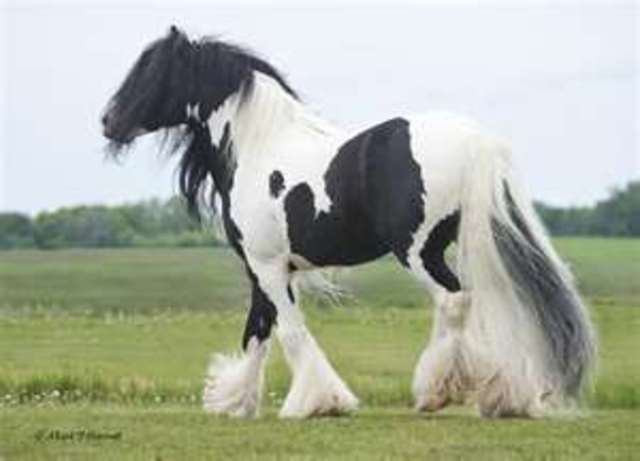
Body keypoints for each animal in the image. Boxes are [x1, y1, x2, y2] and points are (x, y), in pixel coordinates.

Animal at [102, 26, 596, 419]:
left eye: (151, 71)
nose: (108, 122)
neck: (259, 148)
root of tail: (476, 140)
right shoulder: (265, 268)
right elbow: (258, 330)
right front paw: (235, 400)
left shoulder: (267, 265)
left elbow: (290, 331)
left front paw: (317, 403)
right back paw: (492, 394)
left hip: (419, 250)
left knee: (453, 301)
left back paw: (436, 392)